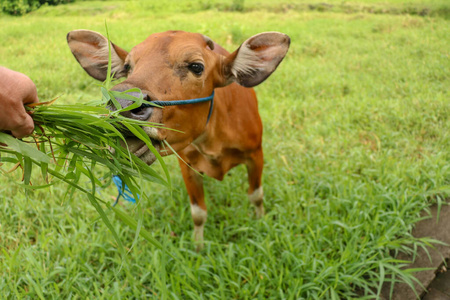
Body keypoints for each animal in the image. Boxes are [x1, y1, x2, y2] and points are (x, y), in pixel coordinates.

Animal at [68, 29, 290, 250]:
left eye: (196, 66)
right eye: (127, 67)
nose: (122, 104)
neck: (213, 138)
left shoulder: (256, 153)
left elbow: (256, 196)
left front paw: (260, 221)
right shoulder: (188, 165)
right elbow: (198, 213)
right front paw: (198, 246)